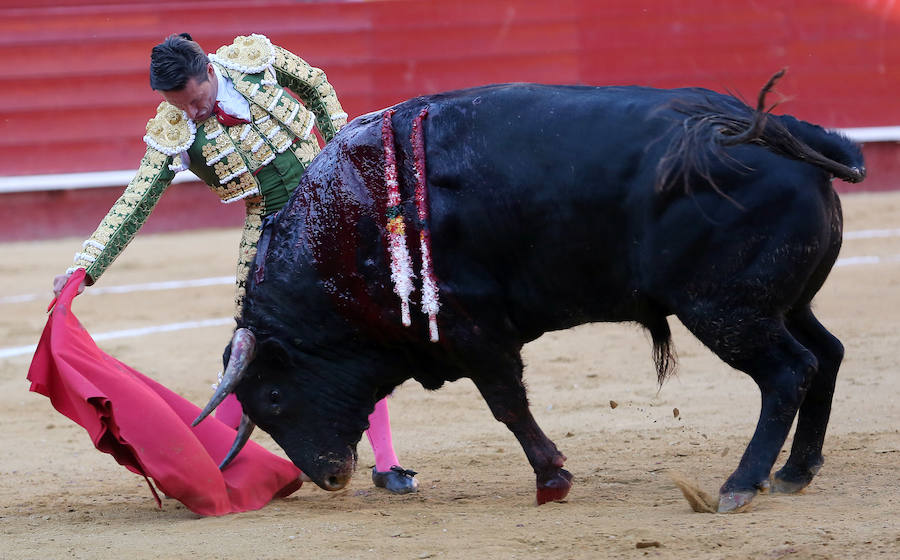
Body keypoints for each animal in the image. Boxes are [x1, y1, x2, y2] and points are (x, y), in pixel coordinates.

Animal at [195, 80, 864, 512]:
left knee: (789, 371)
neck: (354, 222)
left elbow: (509, 407)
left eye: (274, 397)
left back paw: (741, 484)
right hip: (779, 304)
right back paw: (795, 472)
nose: (329, 477)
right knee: (826, 355)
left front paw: (552, 480)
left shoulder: (475, 332)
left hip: (725, 310)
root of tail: (774, 131)